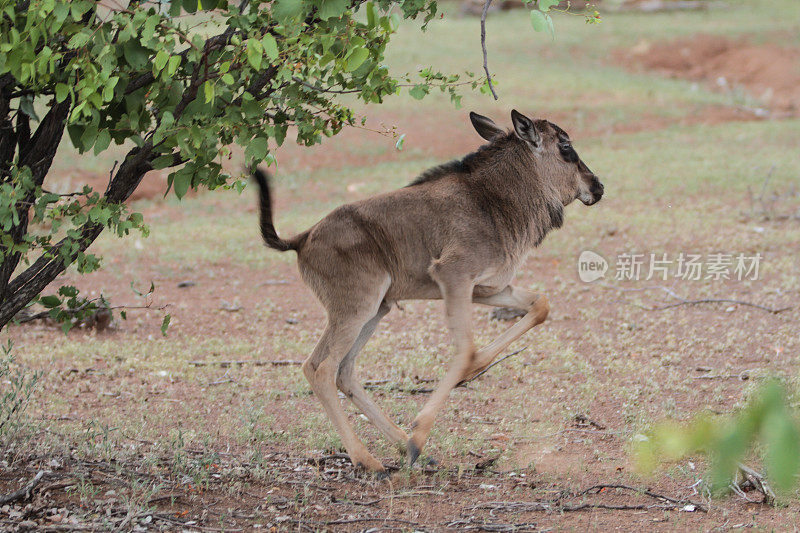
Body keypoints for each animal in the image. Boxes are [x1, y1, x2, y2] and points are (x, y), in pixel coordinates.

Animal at [253, 109, 604, 474]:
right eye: (566, 147)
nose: (598, 187)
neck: (491, 201)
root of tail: (303, 238)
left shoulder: (487, 288)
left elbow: (540, 305)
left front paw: (468, 377)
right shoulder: (454, 277)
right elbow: (465, 349)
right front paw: (422, 428)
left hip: (374, 310)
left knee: (343, 372)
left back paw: (403, 445)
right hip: (355, 310)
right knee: (320, 369)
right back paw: (369, 458)